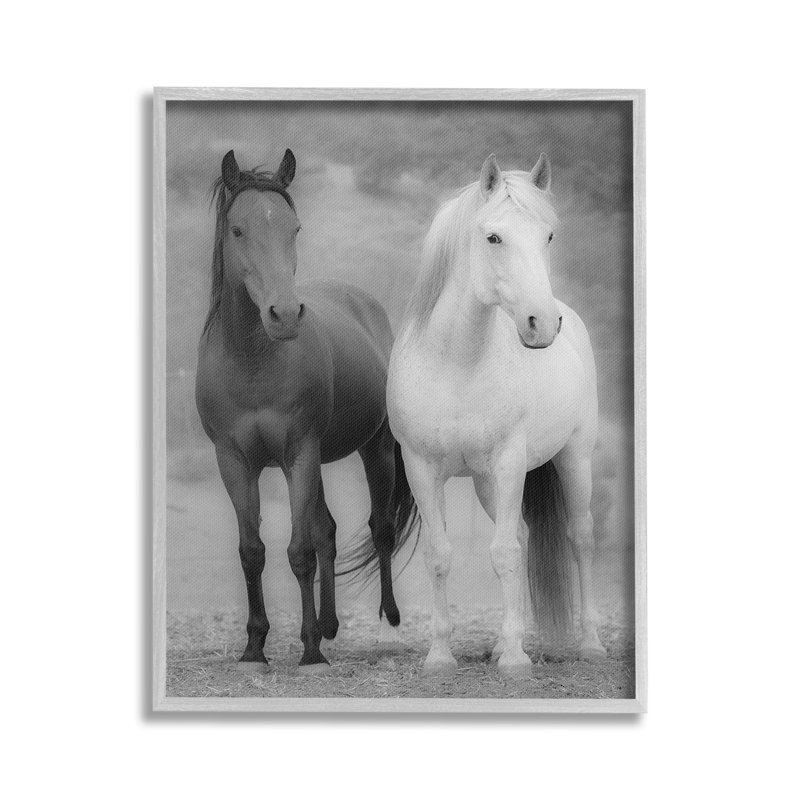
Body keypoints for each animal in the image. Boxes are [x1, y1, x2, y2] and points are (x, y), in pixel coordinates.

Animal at [195, 148, 417, 673]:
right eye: (238, 230)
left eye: (293, 228)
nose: (284, 315)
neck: (253, 362)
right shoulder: (235, 462)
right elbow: (252, 552)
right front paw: (255, 647)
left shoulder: (300, 454)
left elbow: (299, 552)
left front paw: (310, 651)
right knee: (328, 532)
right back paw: (329, 624)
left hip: (373, 449)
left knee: (380, 529)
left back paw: (385, 619)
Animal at [387, 153, 606, 677]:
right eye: (493, 237)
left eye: (548, 236)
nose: (541, 324)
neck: (455, 363)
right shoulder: (422, 468)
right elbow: (440, 555)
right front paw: (441, 655)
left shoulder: (509, 464)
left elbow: (503, 554)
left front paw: (515, 661)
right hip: (488, 484)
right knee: (524, 537)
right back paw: (505, 641)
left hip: (574, 459)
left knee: (580, 538)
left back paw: (588, 644)